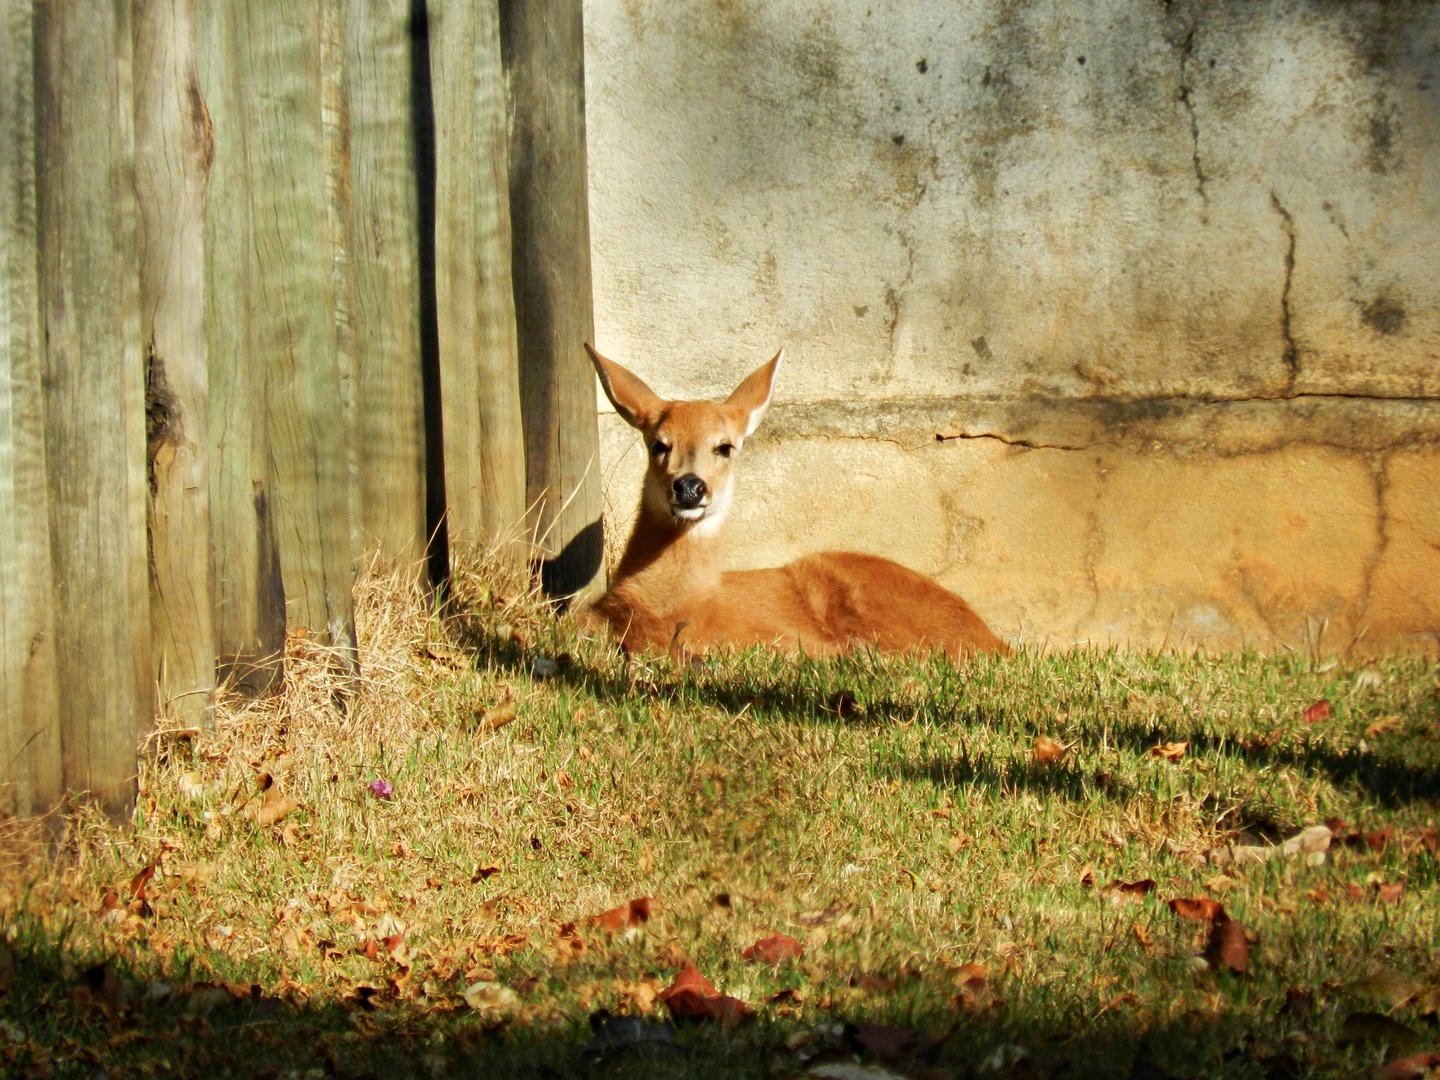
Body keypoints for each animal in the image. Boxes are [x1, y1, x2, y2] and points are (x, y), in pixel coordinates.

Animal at [582, 343, 1010, 661]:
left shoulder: (782, 638)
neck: (675, 604)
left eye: (725, 446)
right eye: (658, 444)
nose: (689, 487)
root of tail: (996, 640)